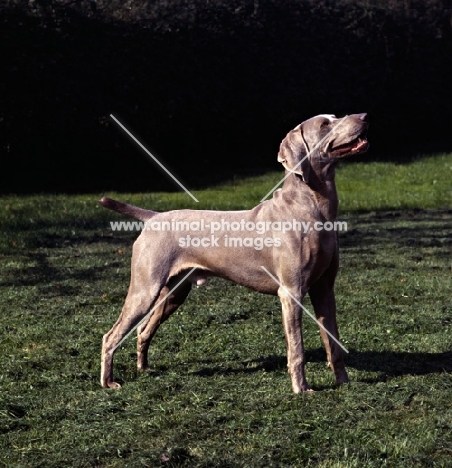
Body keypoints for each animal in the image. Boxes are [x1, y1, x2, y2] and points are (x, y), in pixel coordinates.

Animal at [99, 112, 368, 392]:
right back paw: (108, 382)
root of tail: (153, 217)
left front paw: (344, 382)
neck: (310, 207)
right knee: (111, 335)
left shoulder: (324, 289)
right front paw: (301, 389)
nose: (363, 116)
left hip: (173, 293)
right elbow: (297, 349)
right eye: (325, 124)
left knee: (143, 330)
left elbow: (333, 343)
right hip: (145, 289)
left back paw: (144, 368)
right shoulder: (291, 292)